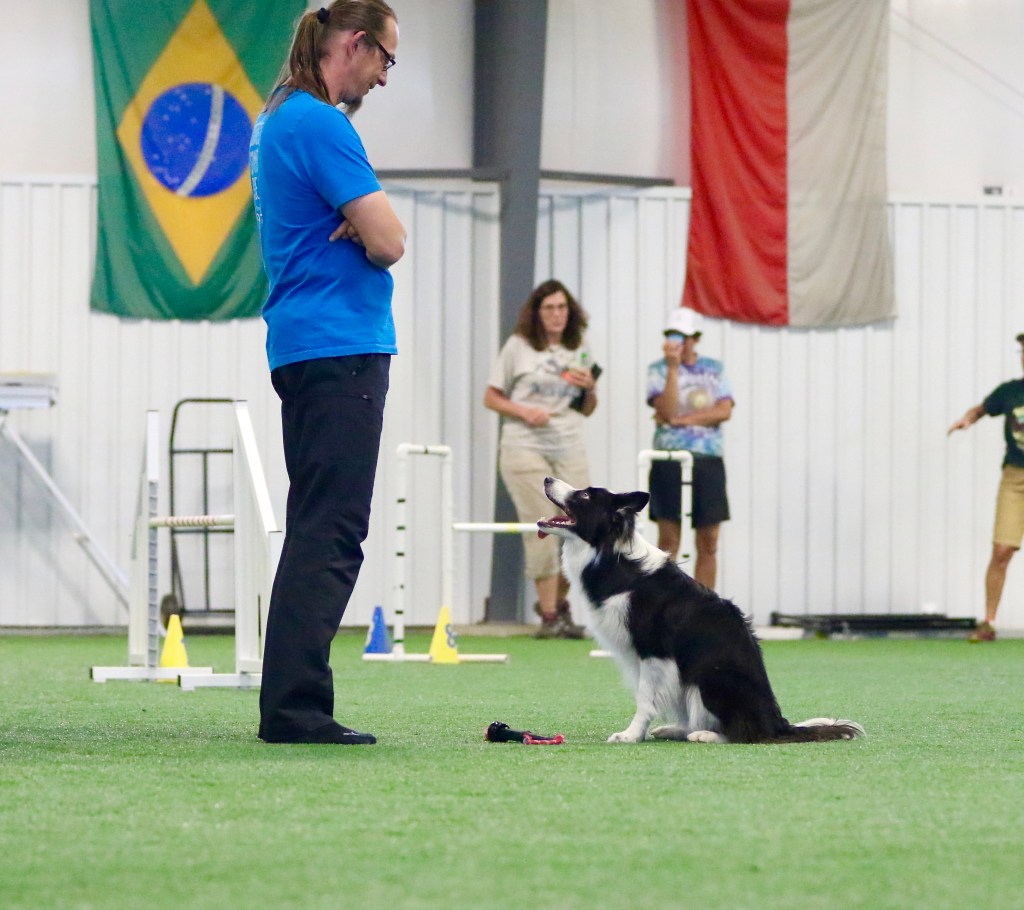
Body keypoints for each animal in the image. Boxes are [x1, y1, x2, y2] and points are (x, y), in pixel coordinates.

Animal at [537, 477, 864, 745]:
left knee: (747, 734)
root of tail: (776, 723)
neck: (611, 556)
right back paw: (676, 730)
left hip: (708, 676)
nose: (547, 478)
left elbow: (644, 699)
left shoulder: (654, 651)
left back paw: (706, 735)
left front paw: (630, 735)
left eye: (585, 496)